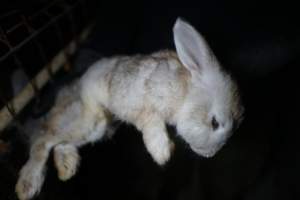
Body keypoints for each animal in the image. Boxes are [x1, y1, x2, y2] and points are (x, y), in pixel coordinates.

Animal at [15, 17, 243, 200]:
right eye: (215, 123)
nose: (209, 155)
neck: (185, 94)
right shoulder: (140, 102)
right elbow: (150, 121)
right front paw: (161, 151)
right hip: (89, 120)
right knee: (42, 138)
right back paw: (28, 185)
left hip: (97, 127)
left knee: (58, 141)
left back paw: (67, 168)